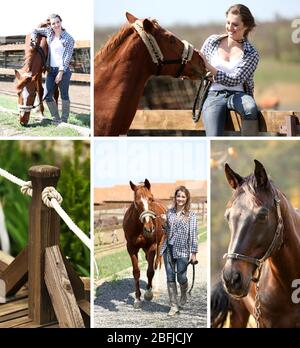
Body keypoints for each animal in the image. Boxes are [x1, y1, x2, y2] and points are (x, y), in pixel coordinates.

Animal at [123, 179, 168, 308]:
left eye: (151, 199)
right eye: (136, 202)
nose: (149, 229)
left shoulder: (152, 247)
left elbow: (150, 271)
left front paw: (148, 294)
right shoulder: (131, 248)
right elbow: (136, 272)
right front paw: (137, 299)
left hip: (160, 244)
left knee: (157, 264)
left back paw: (154, 288)